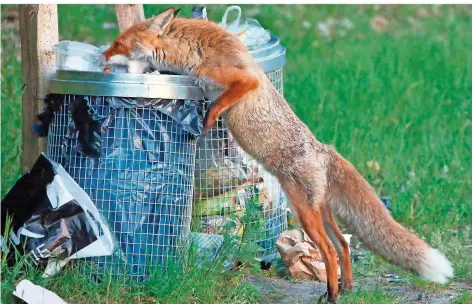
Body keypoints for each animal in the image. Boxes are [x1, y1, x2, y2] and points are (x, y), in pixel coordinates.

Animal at [104, 7, 454, 302]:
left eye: (118, 42)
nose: (102, 57)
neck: (195, 51)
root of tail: (323, 149)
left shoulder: (243, 80)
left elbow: (218, 105)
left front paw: (206, 123)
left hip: (306, 213)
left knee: (328, 250)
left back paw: (331, 294)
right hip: (321, 212)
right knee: (342, 244)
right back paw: (347, 287)